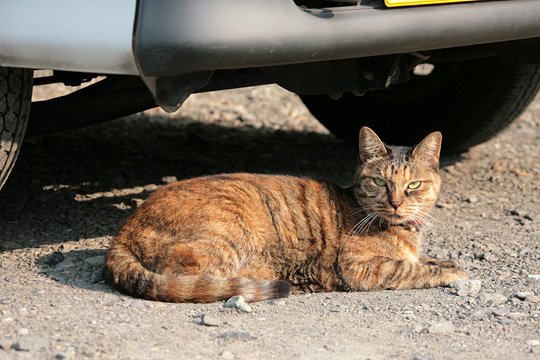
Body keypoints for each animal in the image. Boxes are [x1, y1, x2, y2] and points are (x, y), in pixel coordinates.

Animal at [103, 128, 466, 302]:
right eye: (380, 182)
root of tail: (122, 233)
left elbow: (423, 260)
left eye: (413, 185)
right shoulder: (361, 267)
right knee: (191, 276)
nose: (395, 203)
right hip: (229, 231)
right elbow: (411, 269)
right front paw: (453, 270)